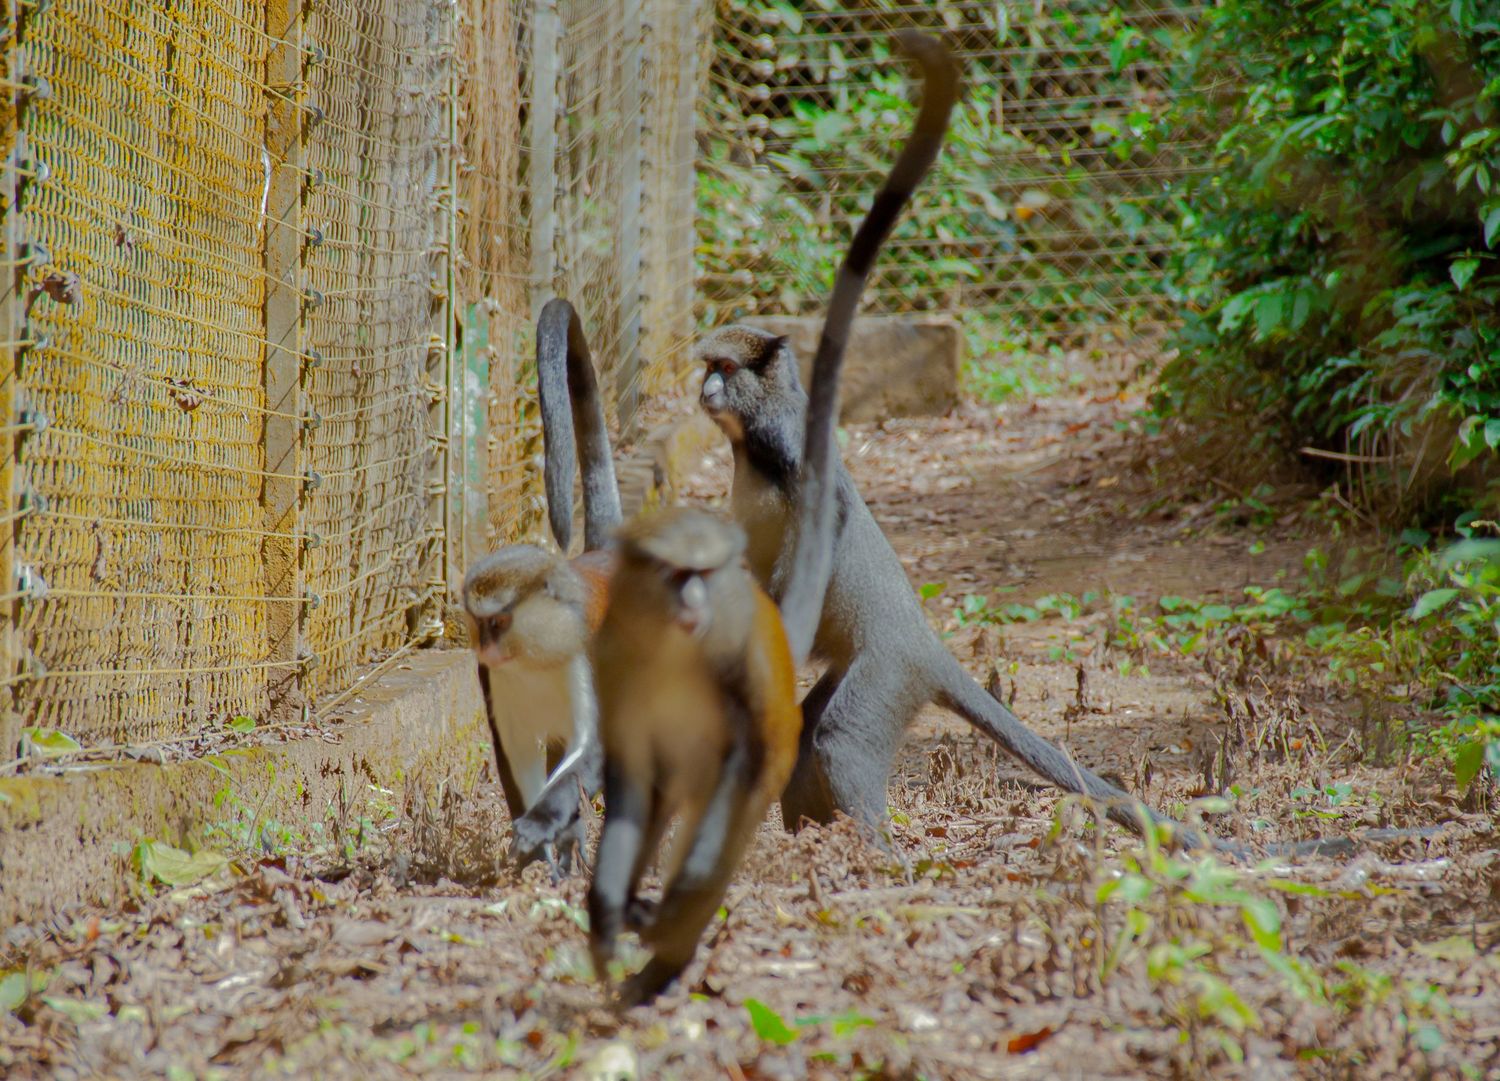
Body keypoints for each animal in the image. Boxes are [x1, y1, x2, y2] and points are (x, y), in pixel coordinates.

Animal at [463, 297, 621, 874]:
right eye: (479, 624)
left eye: (500, 621)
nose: (488, 648)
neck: (535, 656)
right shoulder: (495, 682)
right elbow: (516, 756)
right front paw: (533, 857)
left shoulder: (589, 653)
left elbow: (589, 754)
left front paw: (541, 828)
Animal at [587, 30, 960, 1006]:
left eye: (726, 368)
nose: (704, 391)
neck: (751, 444)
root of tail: (925, 640)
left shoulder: (799, 457)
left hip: (886, 670)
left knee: (839, 733)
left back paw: (867, 851)